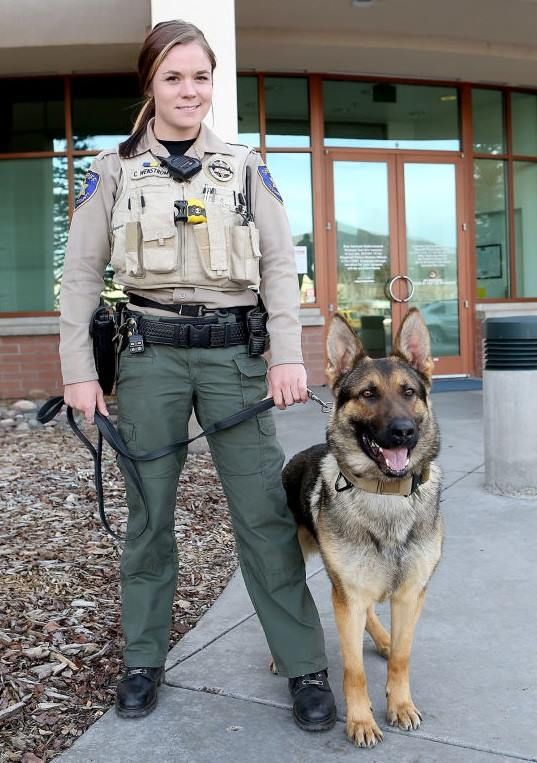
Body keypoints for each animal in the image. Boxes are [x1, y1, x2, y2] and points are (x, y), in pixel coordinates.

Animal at [282, 308, 442, 748]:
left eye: (409, 392)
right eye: (368, 394)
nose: (404, 431)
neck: (385, 495)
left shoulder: (410, 595)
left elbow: (402, 656)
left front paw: (400, 704)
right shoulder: (348, 596)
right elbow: (353, 671)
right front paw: (360, 721)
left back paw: (382, 639)